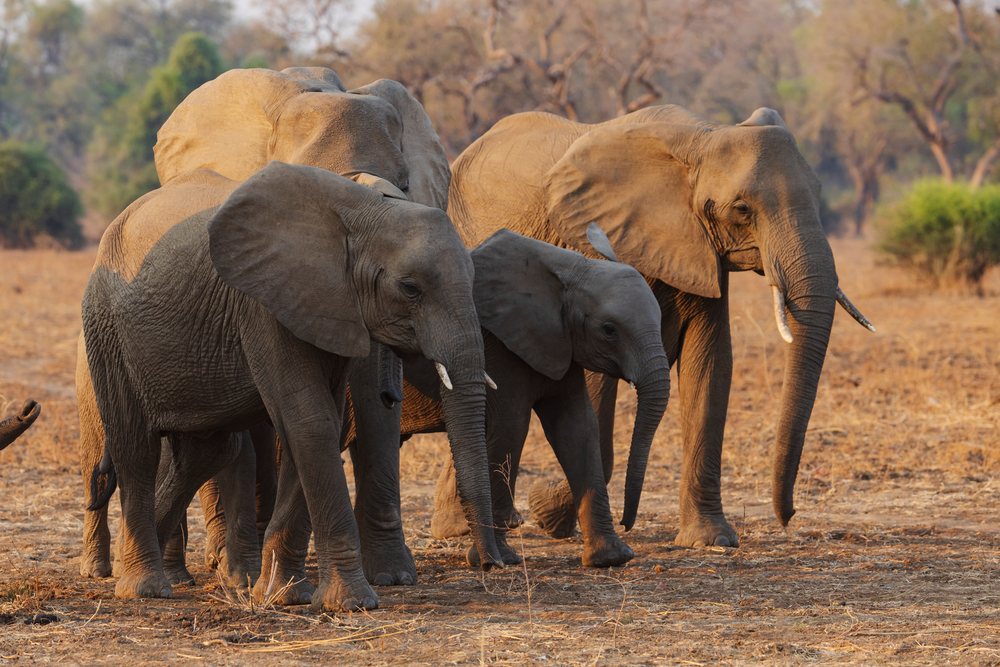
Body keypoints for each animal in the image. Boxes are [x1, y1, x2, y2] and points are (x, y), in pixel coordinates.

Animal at [80, 161, 502, 611]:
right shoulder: (264, 304)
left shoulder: (329, 306)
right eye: (410, 288)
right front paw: (351, 603)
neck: (362, 210)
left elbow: (321, 421)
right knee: (136, 447)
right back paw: (145, 587)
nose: (490, 564)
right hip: (107, 329)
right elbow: (309, 419)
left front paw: (283, 595)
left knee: (204, 451)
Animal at [435, 104, 875, 548]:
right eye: (742, 209)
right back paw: (463, 527)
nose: (788, 516)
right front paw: (548, 513)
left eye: (818, 194)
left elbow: (710, 366)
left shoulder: (702, 252)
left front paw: (710, 538)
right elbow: (596, 386)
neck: (702, 139)